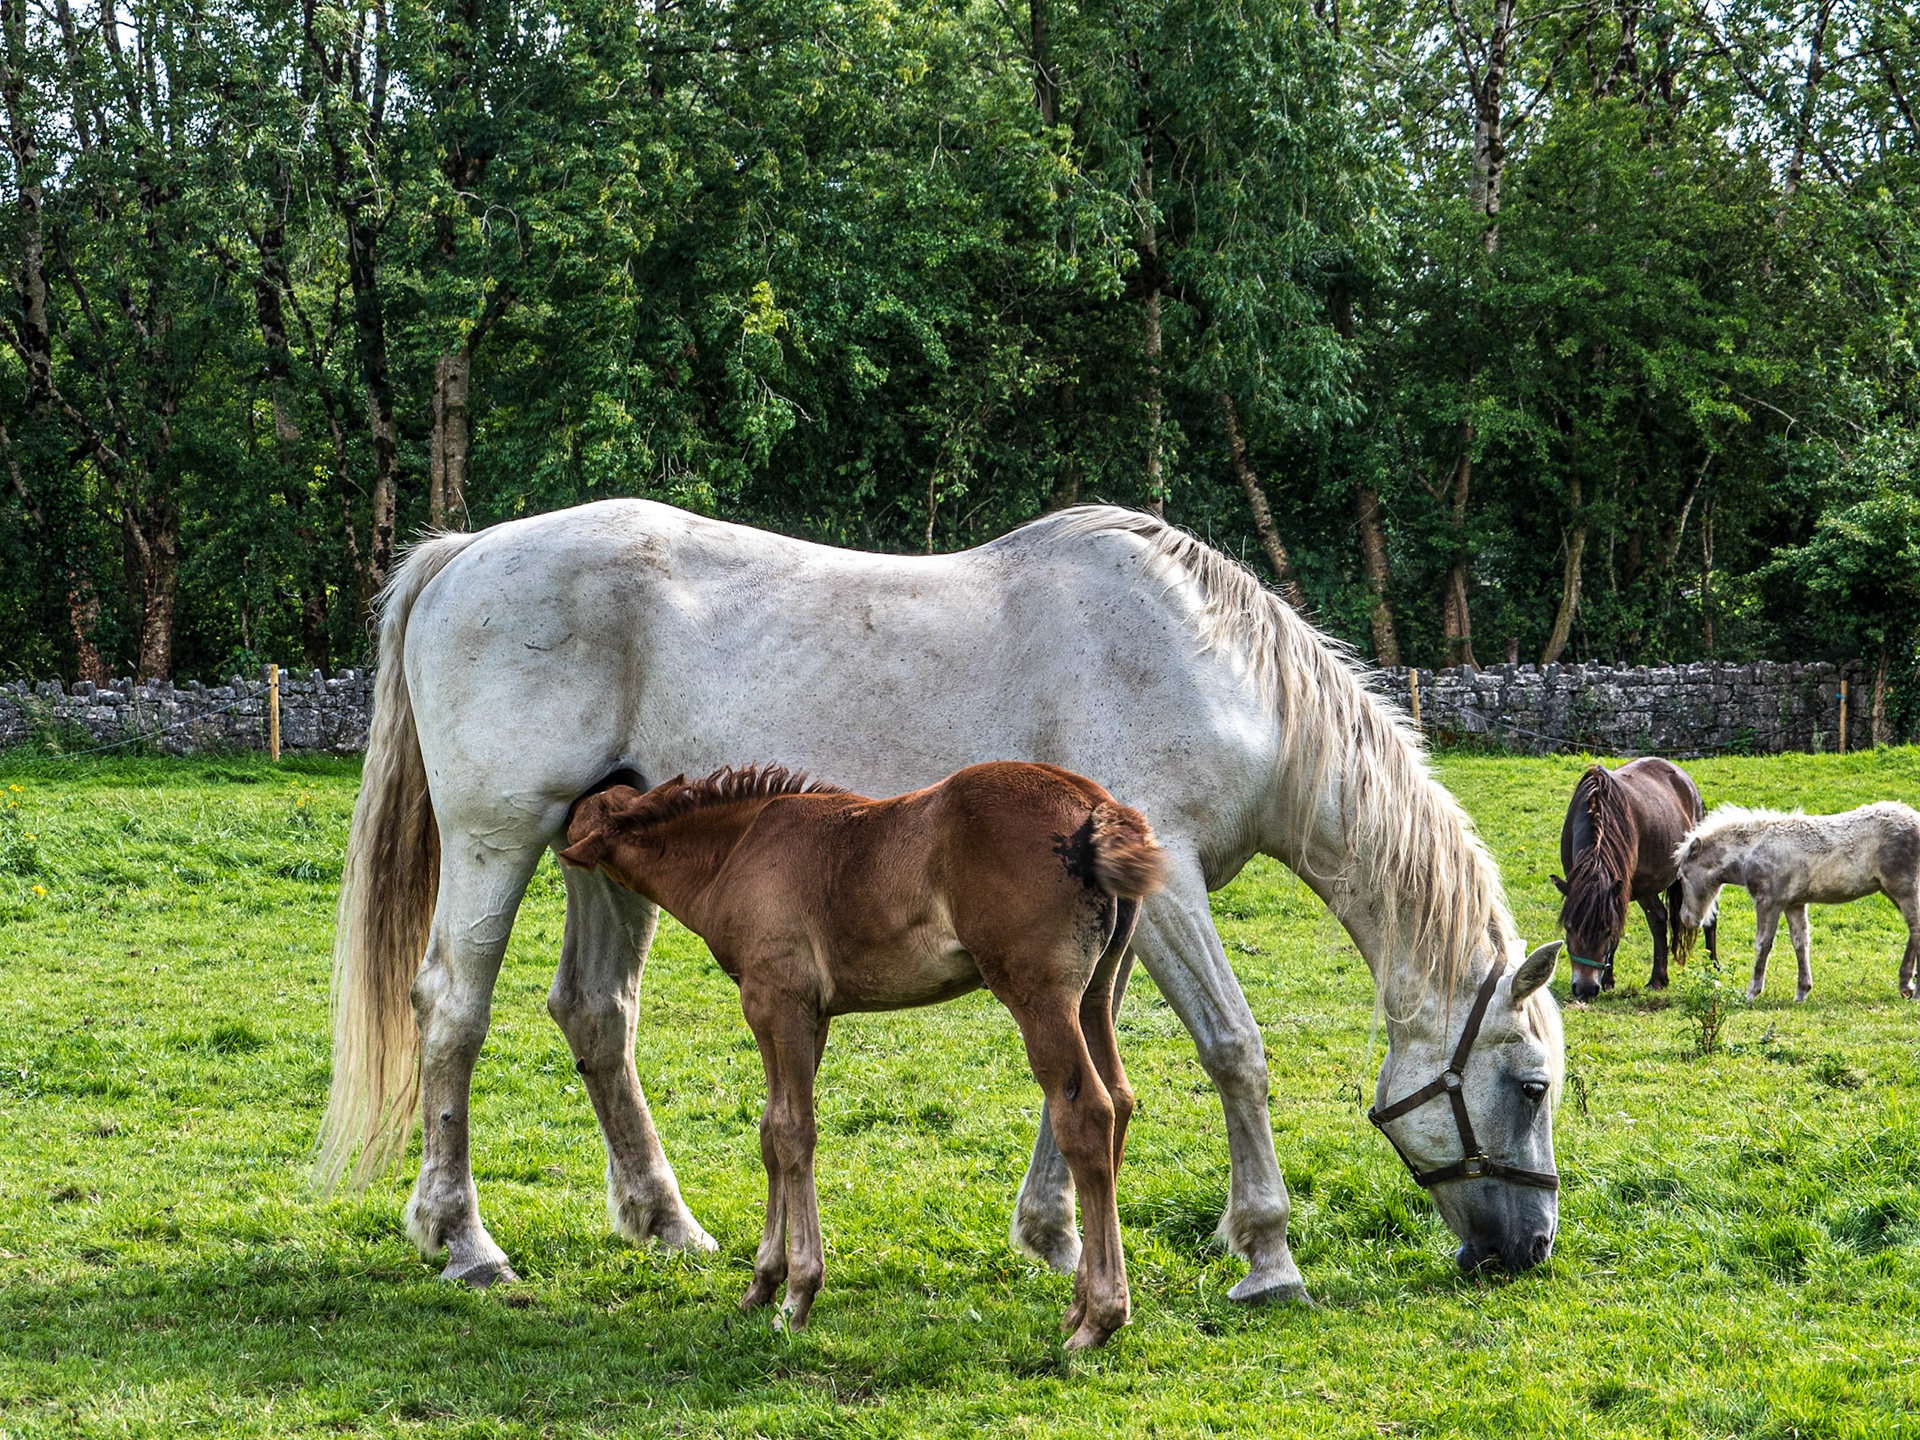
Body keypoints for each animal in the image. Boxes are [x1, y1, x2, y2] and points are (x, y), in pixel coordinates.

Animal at [558, 761, 1167, 1348]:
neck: (734, 852)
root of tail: (1097, 807)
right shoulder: (812, 1016)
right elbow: (770, 1133)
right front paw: (761, 1284)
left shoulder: (775, 1002)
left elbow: (792, 1131)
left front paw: (796, 1298)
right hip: (1094, 993)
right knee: (1120, 1099)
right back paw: (1077, 1308)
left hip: (1039, 995)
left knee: (1087, 1114)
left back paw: (1099, 1320)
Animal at [1551, 759, 1715, 1002]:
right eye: (1569, 928)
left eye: (1606, 931)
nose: (1585, 989)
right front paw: (1608, 979)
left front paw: (1607, 978)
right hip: (1647, 888)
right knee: (1658, 919)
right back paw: (1658, 979)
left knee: (1708, 916)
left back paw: (1714, 969)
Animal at [1675, 803, 1920, 1002]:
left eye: (1682, 876)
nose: (1686, 918)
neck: (1752, 849)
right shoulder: (1794, 904)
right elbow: (1800, 943)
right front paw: (1802, 992)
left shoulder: (1768, 902)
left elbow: (1763, 944)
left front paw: (1751, 993)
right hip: (1892, 891)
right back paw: (1906, 984)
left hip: (1904, 889)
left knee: (1916, 929)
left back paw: (1912, 990)